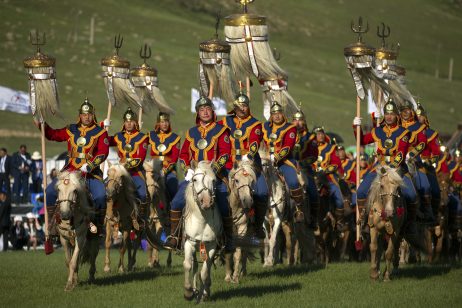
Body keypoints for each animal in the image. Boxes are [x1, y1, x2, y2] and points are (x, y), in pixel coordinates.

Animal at [182, 161, 222, 304]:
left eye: (214, 180)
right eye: (195, 180)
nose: (206, 202)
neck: (202, 220)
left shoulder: (211, 246)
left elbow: (204, 272)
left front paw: (203, 295)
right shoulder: (189, 243)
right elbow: (188, 265)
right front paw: (188, 292)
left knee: (207, 268)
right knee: (194, 265)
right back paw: (194, 290)